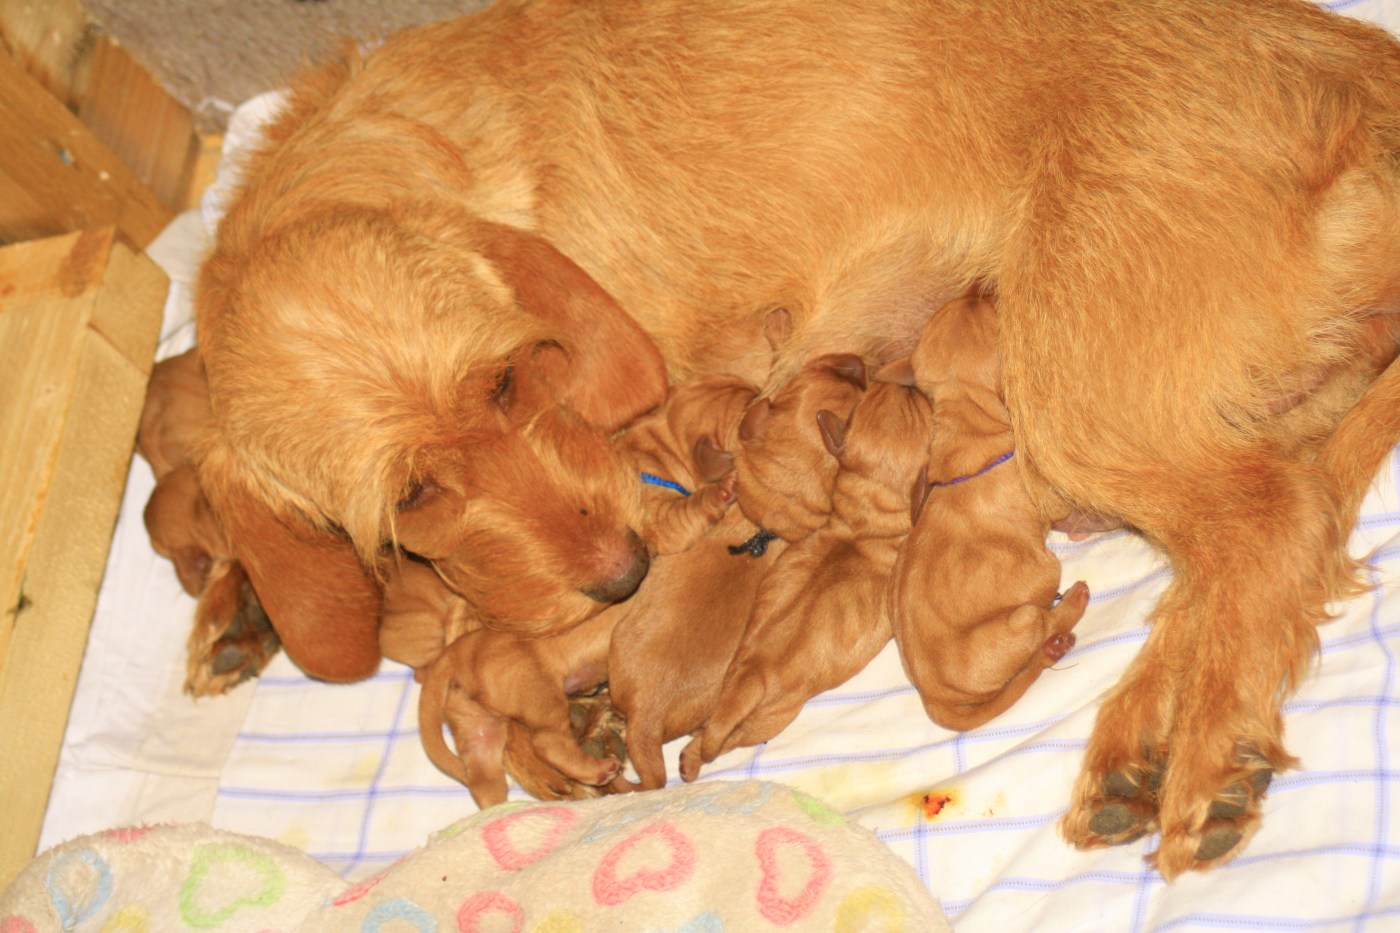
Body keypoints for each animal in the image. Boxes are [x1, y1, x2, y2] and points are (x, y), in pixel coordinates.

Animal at [679, 378, 935, 780]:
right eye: (921, 406)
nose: (905, 382)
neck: (863, 523)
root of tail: (750, 679)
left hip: (727, 688)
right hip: (768, 720)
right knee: (725, 742)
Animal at [886, 296, 1089, 731]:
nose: (979, 289)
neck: (968, 431)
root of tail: (933, 698)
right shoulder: (1050, 497)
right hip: (1026, 613)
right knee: (1045, 625)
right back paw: (1070, 607)